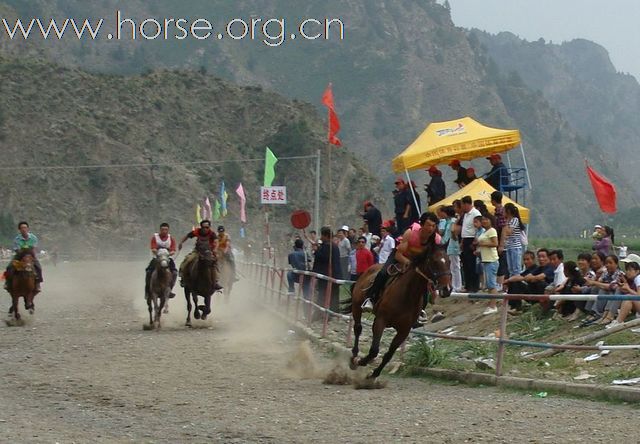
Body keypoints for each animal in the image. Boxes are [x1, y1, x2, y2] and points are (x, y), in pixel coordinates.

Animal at [348, 246, 452, 378]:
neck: (407, 294)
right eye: (434, 262)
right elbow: (374, 350)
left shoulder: (404, 330)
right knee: (358, 328)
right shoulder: (381, 320)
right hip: (357, 306)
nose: (447, 289)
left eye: (449, 261)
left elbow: (389, 354)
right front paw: (362, 361)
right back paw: (354, 358)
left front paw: (374, 374)